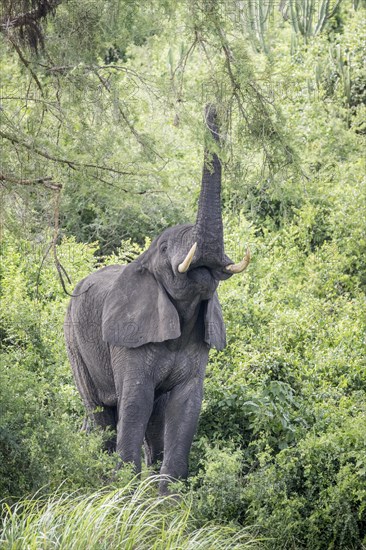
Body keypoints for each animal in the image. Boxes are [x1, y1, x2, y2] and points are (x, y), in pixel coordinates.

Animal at [64, 104, 250, 496]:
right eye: (165, 249)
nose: (212, 107)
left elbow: (186, 406)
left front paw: (167, 504)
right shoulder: (129, 338)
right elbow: (136, 402)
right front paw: (125, 498)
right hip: (73, 339)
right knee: (101, 414)